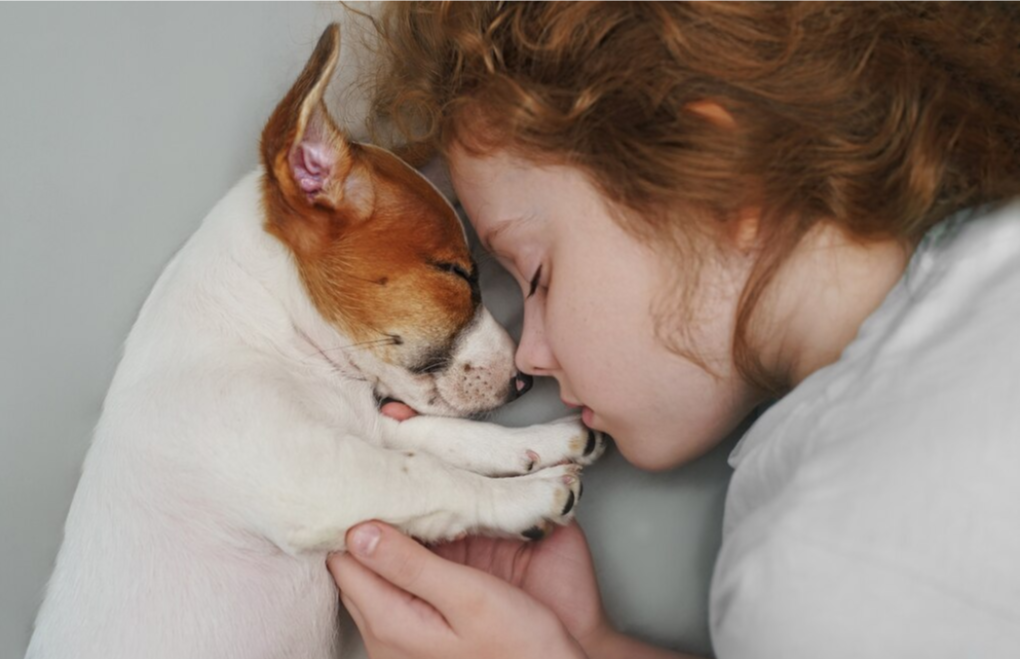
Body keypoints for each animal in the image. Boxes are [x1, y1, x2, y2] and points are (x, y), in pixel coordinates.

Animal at [27, 24, 599, 659]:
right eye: (455, 272)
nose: (525, 381)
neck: (269, 334)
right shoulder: (315, 474)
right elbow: (429, 474)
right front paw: (527, 497)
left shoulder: (368, 428)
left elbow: (448, 439)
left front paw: (543, 441)